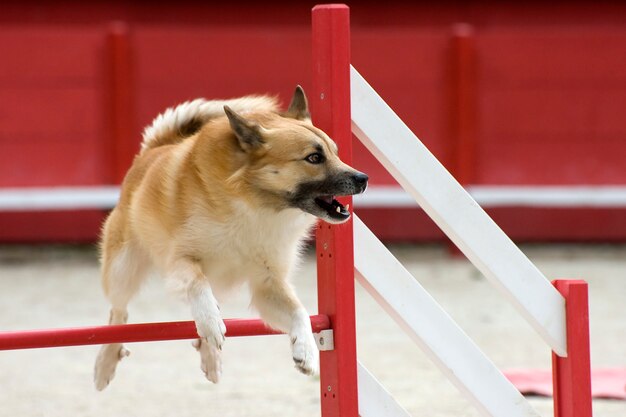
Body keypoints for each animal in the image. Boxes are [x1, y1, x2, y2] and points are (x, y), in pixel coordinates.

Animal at [92, 86, 366, 388]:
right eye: (314, 158)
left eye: (335, 153)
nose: (363, 178)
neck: (255, 204)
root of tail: (153, 150)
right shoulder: (180, 260)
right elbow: (197, 285)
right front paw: (211, 323)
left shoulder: (268, 285)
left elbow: (300, 312)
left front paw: (306, 350)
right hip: (123, 269)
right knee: (118, 313)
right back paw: (107, 362)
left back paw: (210, 357)